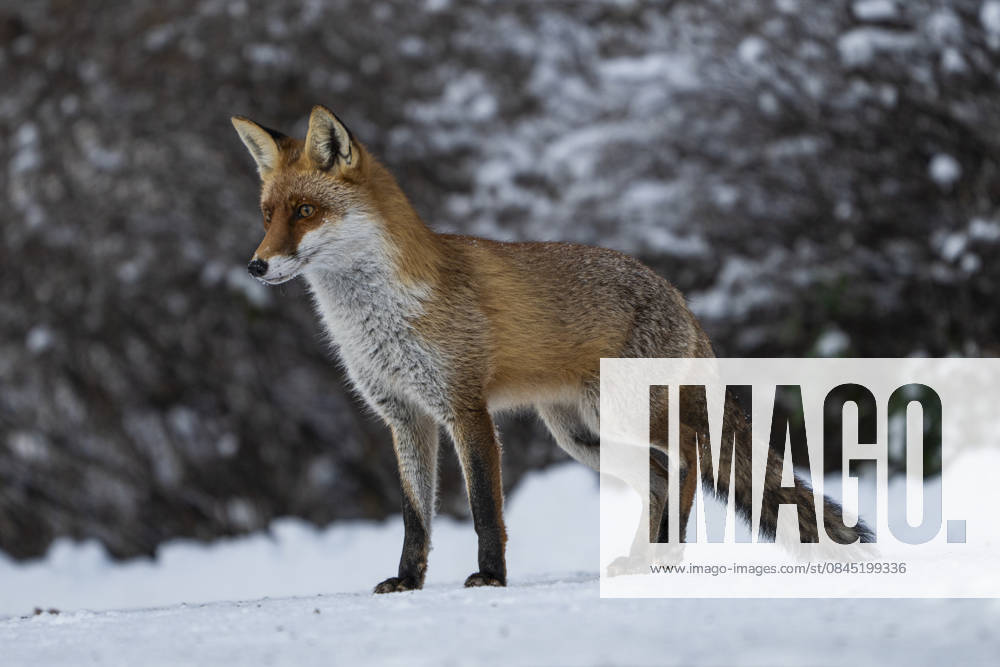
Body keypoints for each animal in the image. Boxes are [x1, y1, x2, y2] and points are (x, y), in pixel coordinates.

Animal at [231, 105, 872, 593]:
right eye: (267, 215)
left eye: (306, 212)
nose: (256, 266)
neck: (380, 314)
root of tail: (681, 299)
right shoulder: (405, 416)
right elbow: (416, 517)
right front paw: (408, 582)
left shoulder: (465, 408)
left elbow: (485, 508)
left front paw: (490, 577)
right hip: (582, 433)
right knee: (661, 477)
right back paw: (647, 561)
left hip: (627, 414)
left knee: (689, 461)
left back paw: (666, 557)